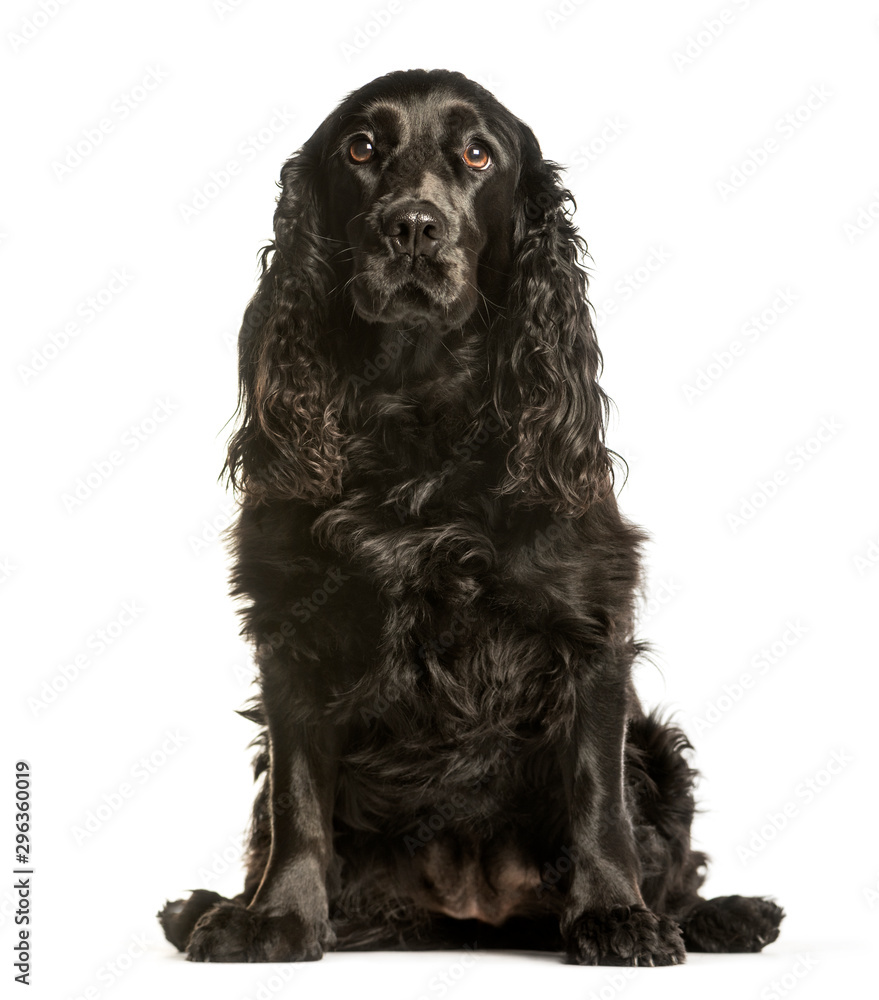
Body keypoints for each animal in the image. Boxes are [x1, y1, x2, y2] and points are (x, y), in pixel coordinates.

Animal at [160, 66, 784, 964]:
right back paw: (211, 905)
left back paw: (718, 914)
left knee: (672, 866)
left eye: (478, 153)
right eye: (361, 148)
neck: (417, 409)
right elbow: (296, 804)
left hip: (656, 748)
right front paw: (276, 918)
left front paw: (614, 915)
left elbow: (598, 802)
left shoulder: (589, 632)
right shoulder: (290, 635)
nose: (412, 226)